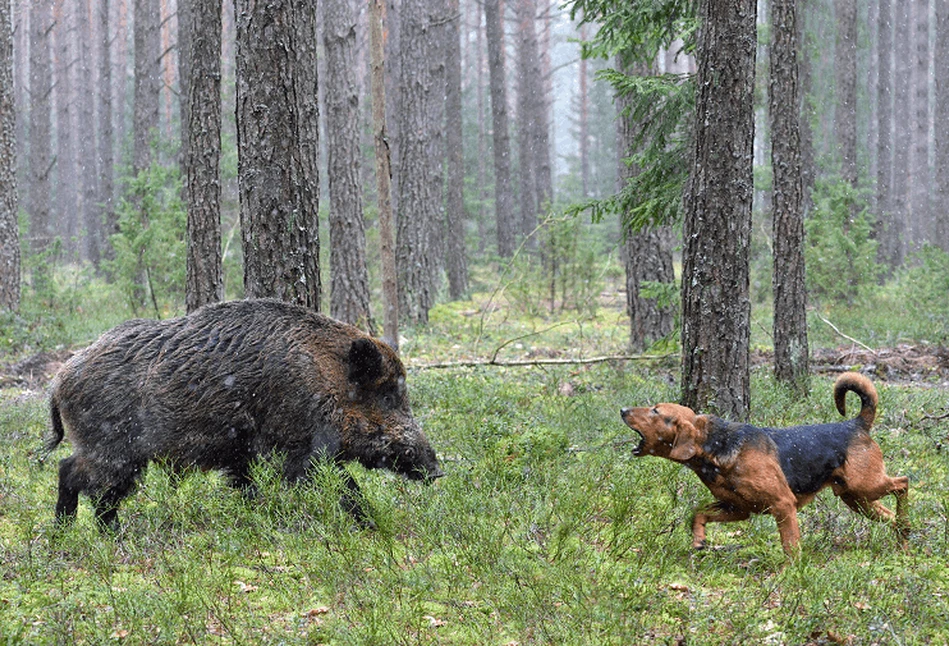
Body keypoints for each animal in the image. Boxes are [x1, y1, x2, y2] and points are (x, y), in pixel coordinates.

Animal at [620, 374, 908, 556]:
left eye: (656, 411)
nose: (622, 410)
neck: (715, 447)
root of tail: (856, 424)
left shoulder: (783, 505)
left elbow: (790, 546)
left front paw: (790, 575)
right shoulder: (737, 509)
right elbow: (698, 512)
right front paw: (699, 539)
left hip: (865, 486)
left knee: (903, 483)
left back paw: (905, 526)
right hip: (857, 499)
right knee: (891, 514)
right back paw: (903, 540)